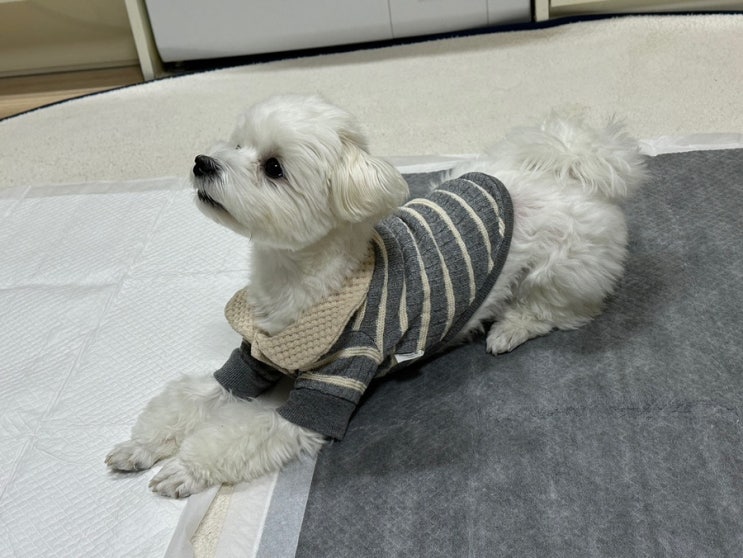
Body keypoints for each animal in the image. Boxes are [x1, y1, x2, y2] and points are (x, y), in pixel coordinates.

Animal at [106, 94, 647, 497]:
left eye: (274, 167)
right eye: (237, 143)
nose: (202, 162)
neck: (299, 283)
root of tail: (570, 170)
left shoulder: (327, 389)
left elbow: (242, 435)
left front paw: (184, 470)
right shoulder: (250, 358)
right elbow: (190, 398)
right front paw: (141, 447)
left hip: (563, 269)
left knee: (562, 310)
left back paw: (508, 330)